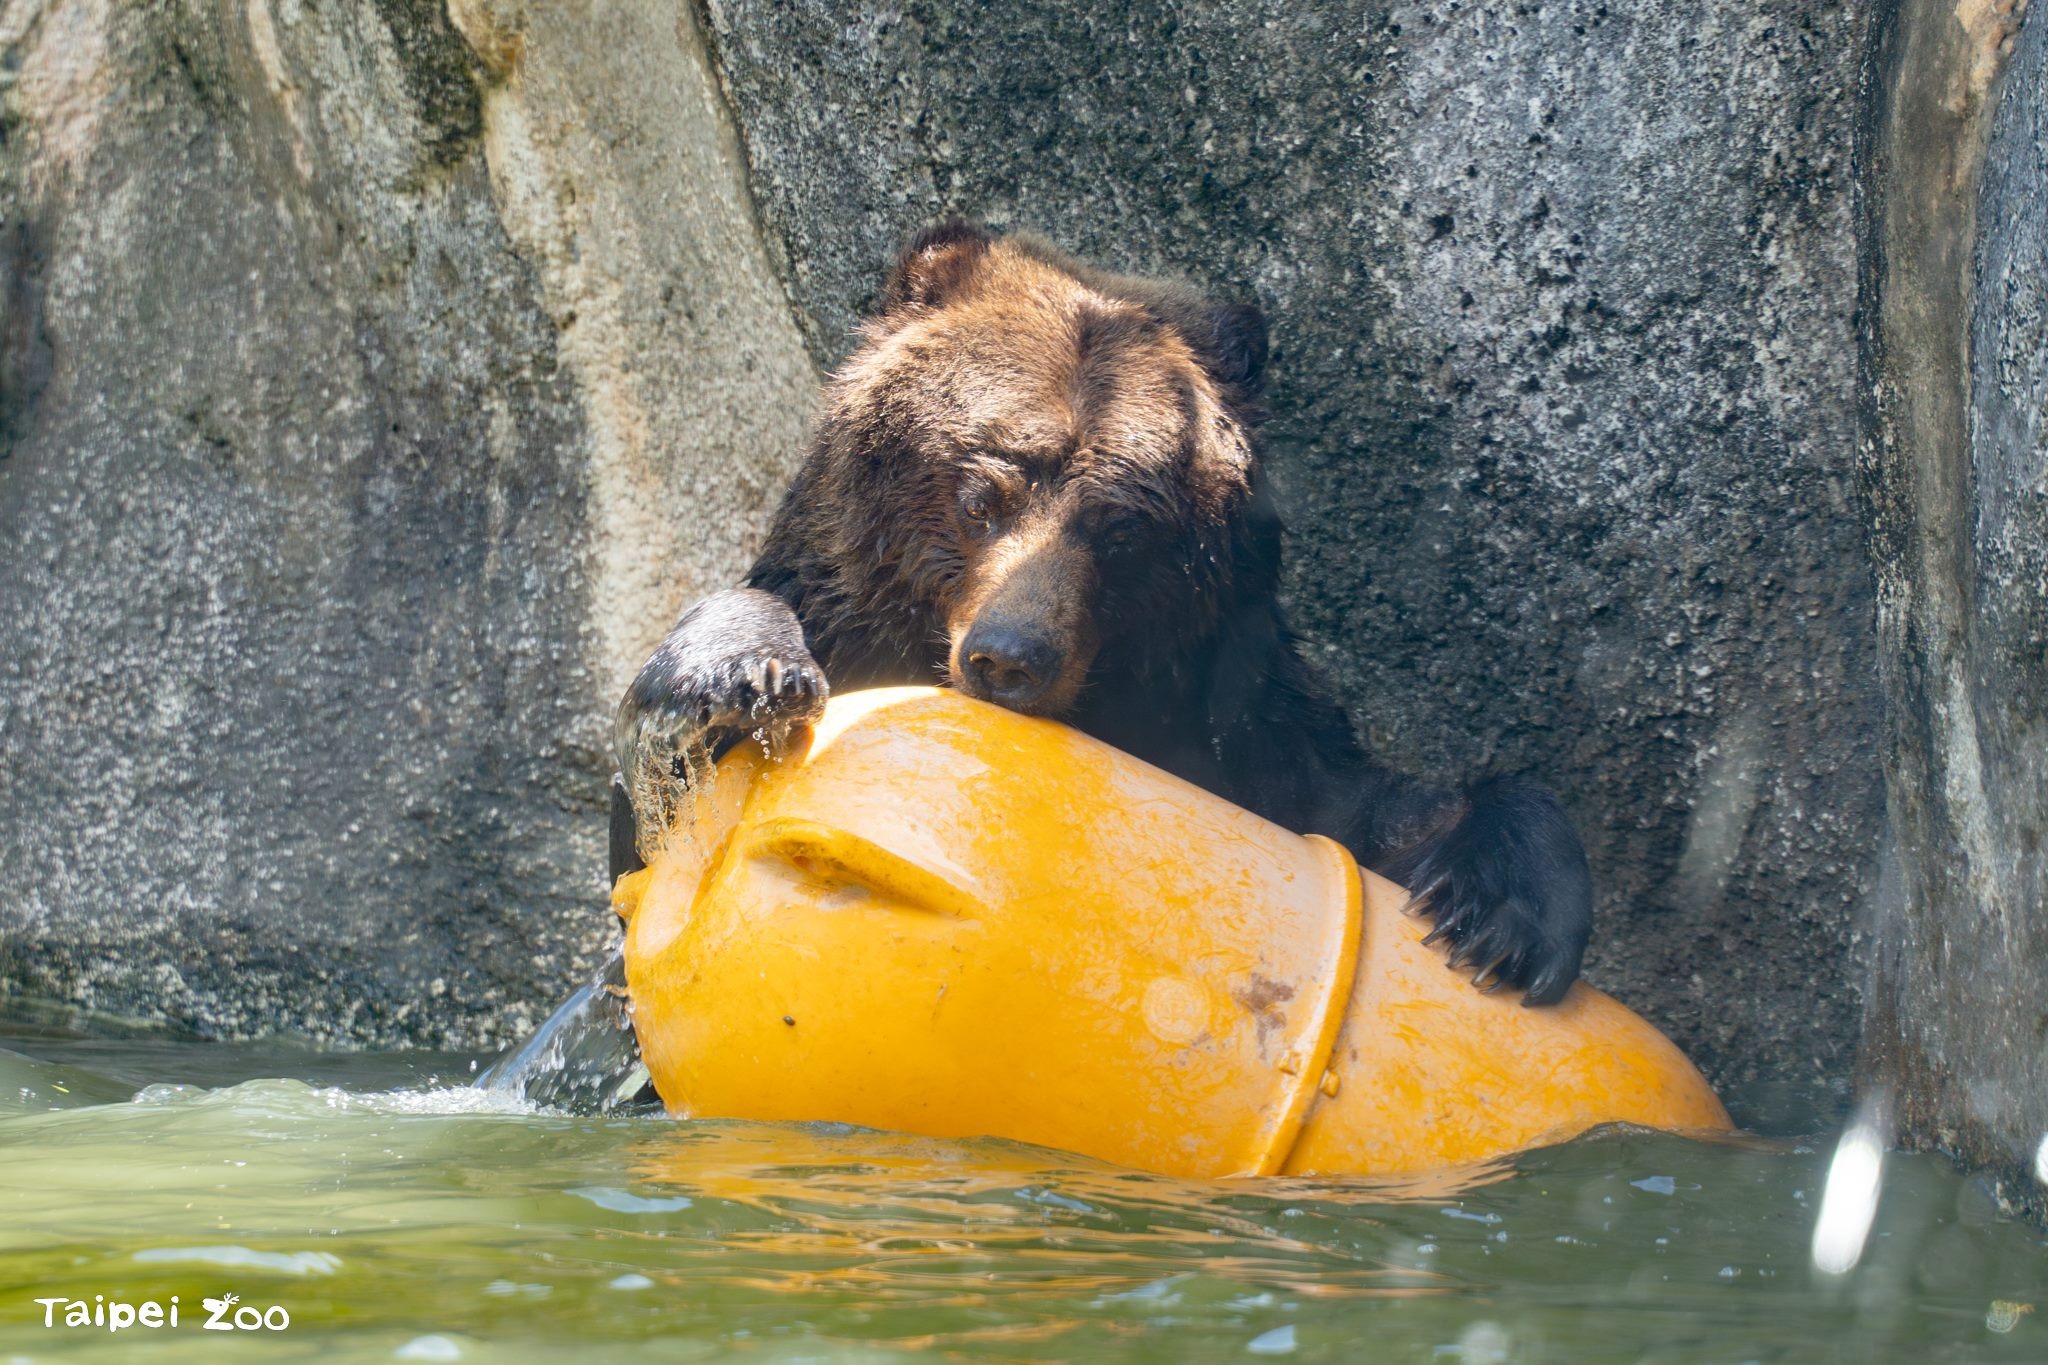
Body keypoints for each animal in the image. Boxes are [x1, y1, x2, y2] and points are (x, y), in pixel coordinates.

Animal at [611, 221, 1593, 1005]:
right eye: (984, 490)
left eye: (1118, 526)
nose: (1009, 656)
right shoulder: (846, 607)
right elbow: (660, 834)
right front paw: (740, 676)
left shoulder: (1241, 722)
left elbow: (1378, 810)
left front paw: (1504, 915)